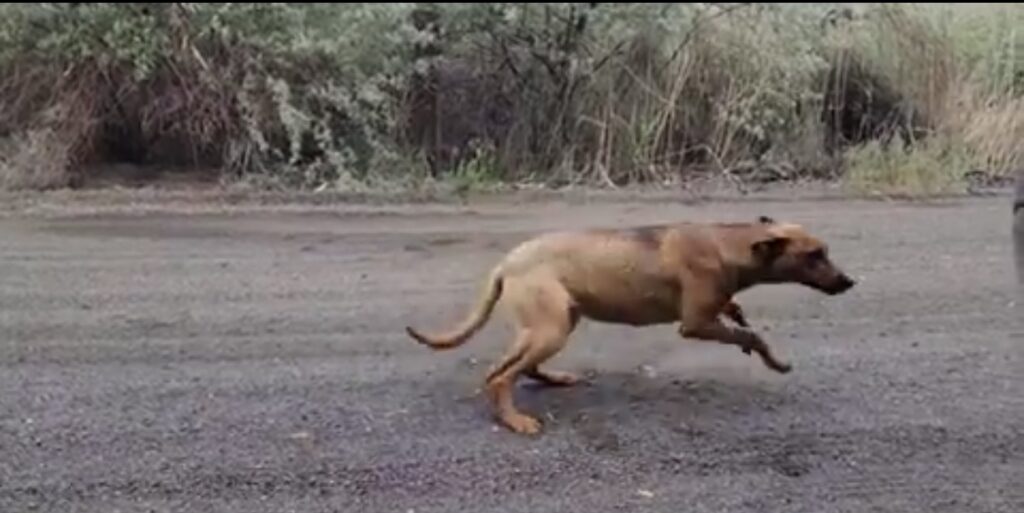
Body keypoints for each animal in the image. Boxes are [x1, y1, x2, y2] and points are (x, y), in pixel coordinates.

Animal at [405, 214, 856, 434]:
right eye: (814, 255)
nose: (849, 282)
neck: (724, 244)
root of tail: (506, 262)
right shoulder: (694, 324)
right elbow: (752, 335)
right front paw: (772, 360)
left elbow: (736, 316)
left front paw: (738, 313)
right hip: (550, 329)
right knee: (500, 377)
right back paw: (515, 420)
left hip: (553, 324)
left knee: (505, 369)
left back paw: (549, 383)